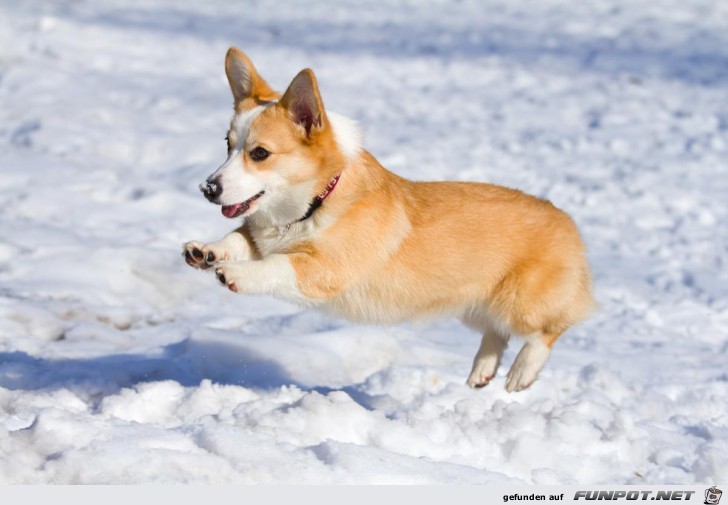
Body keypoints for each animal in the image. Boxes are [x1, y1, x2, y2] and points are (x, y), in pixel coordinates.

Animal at [183, 47, 596, 392]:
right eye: (227, 145)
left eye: (260, 153)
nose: (208, 188)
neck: (315, 202)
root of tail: (566, 219)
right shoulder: (261, 235)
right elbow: (238, 239)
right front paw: (205, 251)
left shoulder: (325, 269)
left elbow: (275, 267)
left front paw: (236, 274)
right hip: (475, 307)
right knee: (497, 334)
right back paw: (482, 371)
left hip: (520, 304)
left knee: (549, 329)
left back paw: (521, 373)